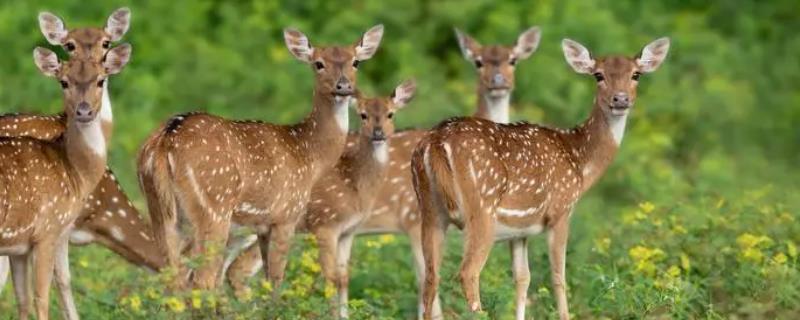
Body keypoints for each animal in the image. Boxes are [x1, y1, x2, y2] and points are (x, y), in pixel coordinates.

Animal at [0, 45, 131, 320]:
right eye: (64, 81)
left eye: (101, 80)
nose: (84, 111)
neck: (74, 173)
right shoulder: (48, 230)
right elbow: (41, 299)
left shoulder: (19, 247)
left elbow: (23, 301)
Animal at [137, 25, 384, 290]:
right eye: (318, 63)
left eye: (355, 61)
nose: (343, 86)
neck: (310, 155)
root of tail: (165, 141)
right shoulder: (287, 214)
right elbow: (276, 279)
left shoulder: (262, 226)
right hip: (214, 206)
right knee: (202, 279)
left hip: (159, 208)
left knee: (171, 276)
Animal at [412, 37, 668, 318]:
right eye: (598, 75)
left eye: (636, 74)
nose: (620, 99)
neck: (579, 161)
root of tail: (437, 143)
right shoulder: (561, 210)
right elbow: (558, 277)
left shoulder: (519, 230)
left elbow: (523, 277)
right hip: (480, 208)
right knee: (467, 273)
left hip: (430, 210)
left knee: (430, 277)